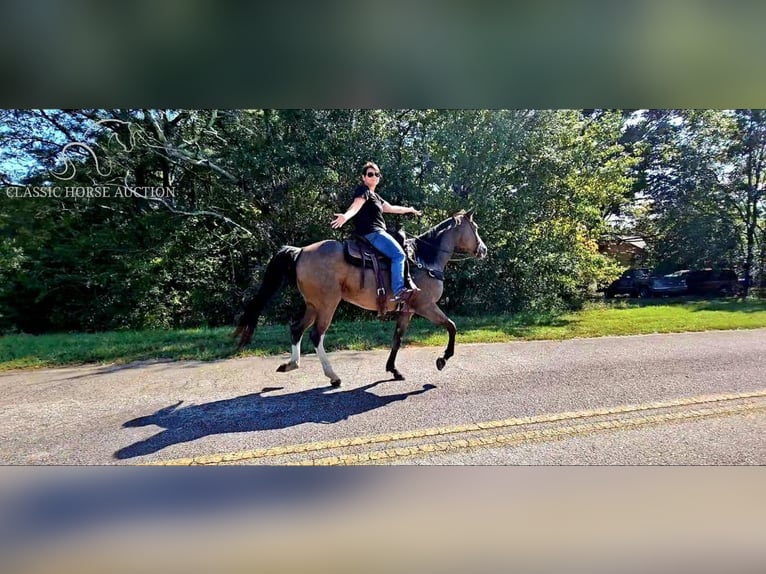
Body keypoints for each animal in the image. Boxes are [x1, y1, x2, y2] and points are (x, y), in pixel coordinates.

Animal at [232, 207, 492, 388]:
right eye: (475, 227)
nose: (484, 249)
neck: (423, 259)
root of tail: (301, 251)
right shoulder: (426, 305)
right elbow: (451, 326)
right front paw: (443, 359)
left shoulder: (406, 310)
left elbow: (397, 339)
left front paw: (394, 370)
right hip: (327, 304)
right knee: (316, 335)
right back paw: (333, 376)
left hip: (313, 304)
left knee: (297, 329)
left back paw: (291, 364)